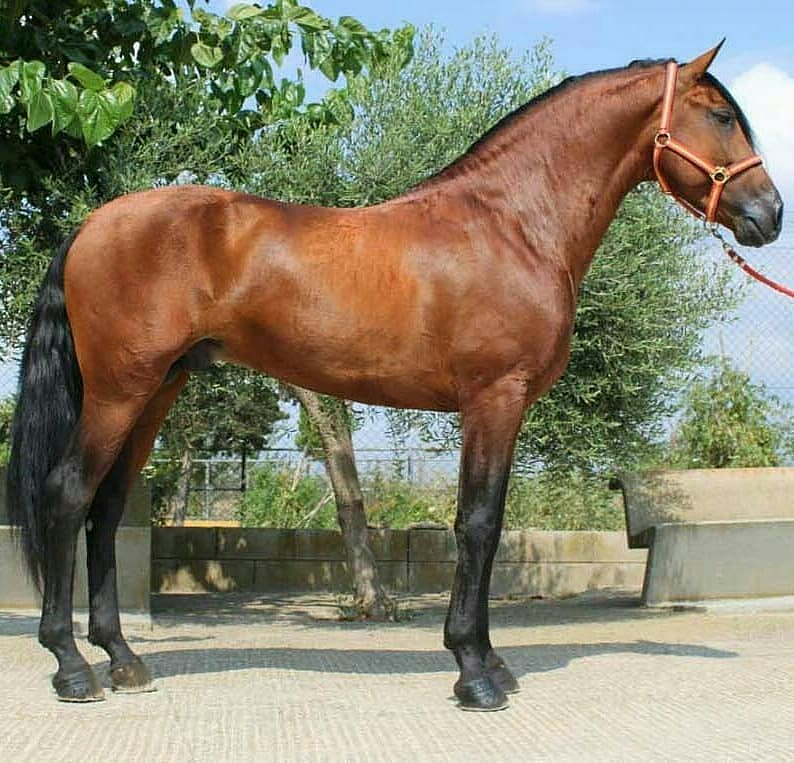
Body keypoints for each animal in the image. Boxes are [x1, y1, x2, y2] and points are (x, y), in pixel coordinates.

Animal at [6, 43, 782, 710]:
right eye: (720, 115)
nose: (770, 213)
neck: (512, 223)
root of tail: (92, 225)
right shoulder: (493, 398)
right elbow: (479, 524)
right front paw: (475, 672)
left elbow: (486, 524)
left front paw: (490, 661)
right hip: (120, 391)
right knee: (67, 495)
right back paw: (71, 667)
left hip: (157, 390)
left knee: (106, 509)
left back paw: (124, 658)